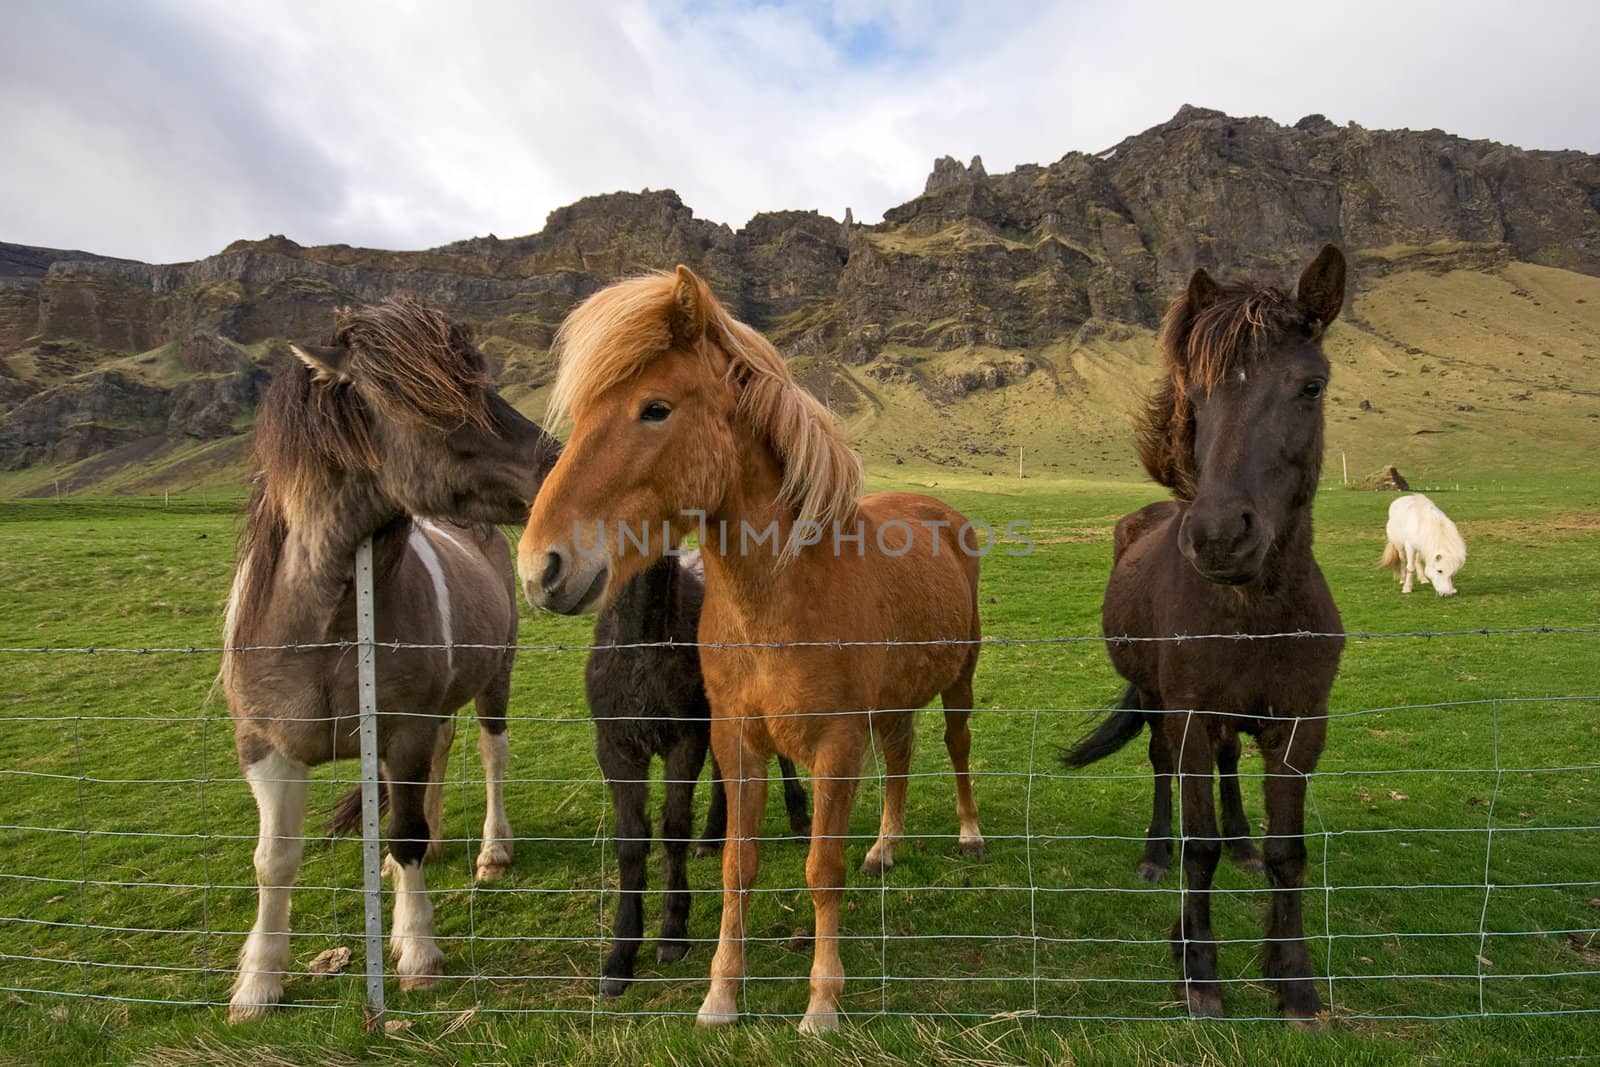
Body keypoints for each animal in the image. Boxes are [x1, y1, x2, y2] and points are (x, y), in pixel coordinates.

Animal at [219, 299, 556, 1017]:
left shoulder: (402, 730)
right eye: (432, 403)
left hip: (495, 678)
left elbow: (402, 832)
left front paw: (419, 953)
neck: (325, 625)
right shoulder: (265, 746)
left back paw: (491, 852)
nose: (560, 466)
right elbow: (274, 858)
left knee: (488, 753)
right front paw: (258, 982)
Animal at [518, 267, 979, 1036]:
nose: (540, 566)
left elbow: (822, 870)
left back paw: (969, 834)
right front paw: (721, 995)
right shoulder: (735, 741)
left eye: (655, 408)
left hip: (960, 681)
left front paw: (822, 1002)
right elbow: (737, 864)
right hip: (892, 702)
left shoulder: (835, 747)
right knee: (903, 756)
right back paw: (885, 846)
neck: (783, 596)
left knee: (956, 744)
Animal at [1068, 246, 1344, 1023]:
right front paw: (1197, 969)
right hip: (1163, 702)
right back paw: (1153, 854)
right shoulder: (1189, 713)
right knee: (1163, 767)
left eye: (1311, 385)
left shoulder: (1300, 725)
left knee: (1228, 771)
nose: (1221, 536)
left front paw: (1294, 979)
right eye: (1198, 392)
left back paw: (1241, 841)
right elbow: (1199, 846)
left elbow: (1288, 852)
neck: (1254, 612)